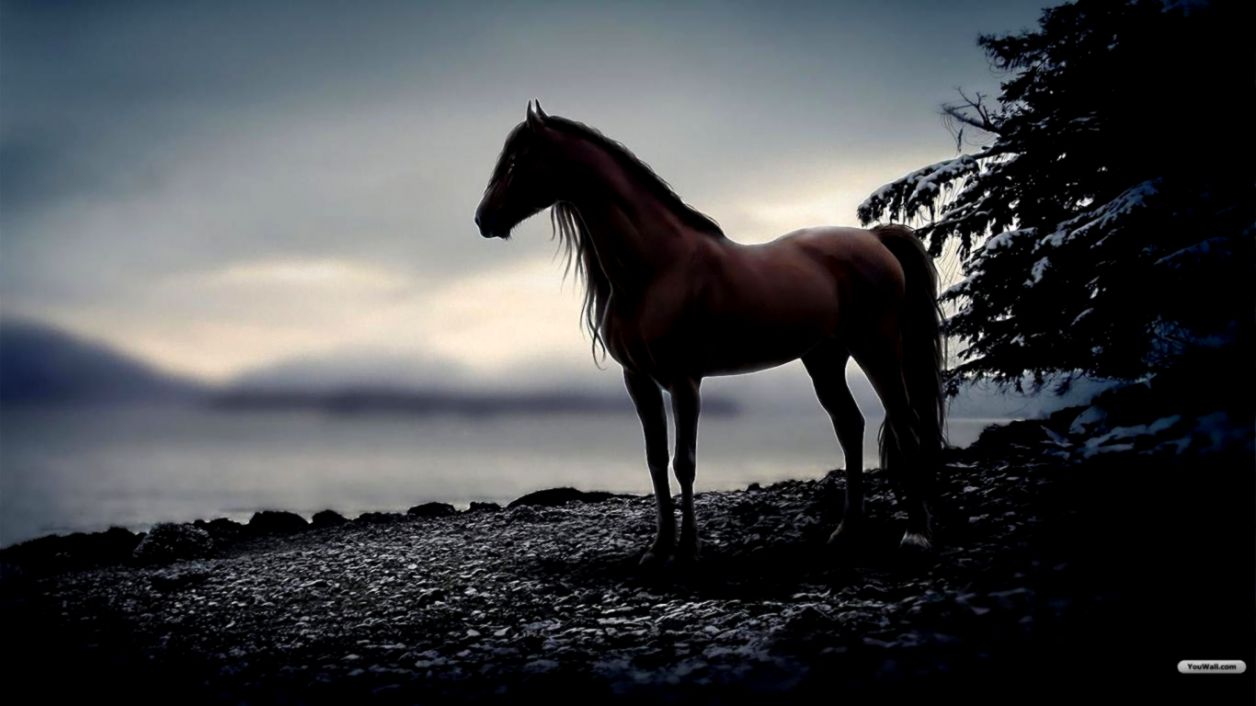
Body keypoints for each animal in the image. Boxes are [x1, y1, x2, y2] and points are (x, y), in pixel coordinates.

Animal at [474, 101, 945, 565]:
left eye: (515, 161)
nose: (483, 219)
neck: (657, 268)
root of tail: (876, 239)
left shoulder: (685, 381)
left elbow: (684, 462)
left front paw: (687, 549)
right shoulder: (639, 380)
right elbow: (655, 459)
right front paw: (659, 547)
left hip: (877, 348)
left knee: (906, 427)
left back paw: (917, 534)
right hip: (824, 358)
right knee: (850, 426)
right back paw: (846, 530)